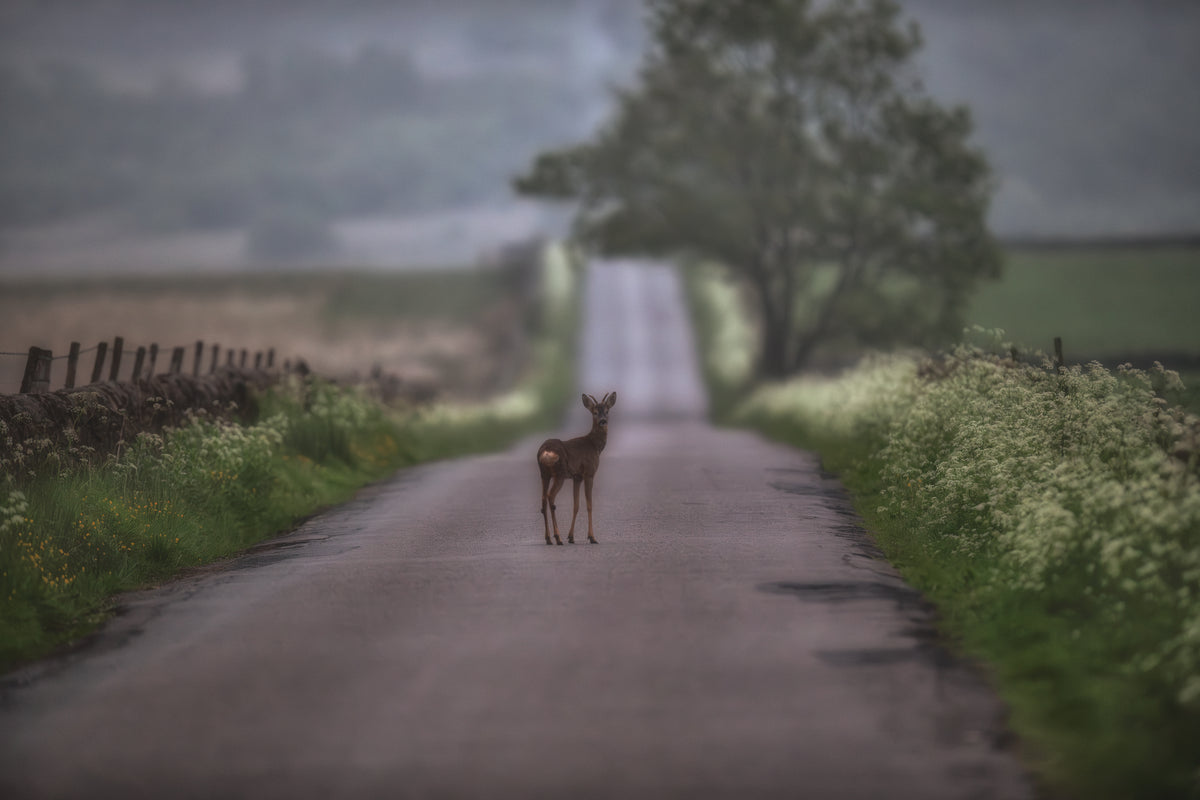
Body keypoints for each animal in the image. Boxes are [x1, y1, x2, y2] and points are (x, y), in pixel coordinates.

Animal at [537, 391, 617, 545]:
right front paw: (592, 537)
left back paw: (548, 538)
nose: (603, 421)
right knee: (550, 497)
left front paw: (571, 537)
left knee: (543, 500)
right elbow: (589, 505)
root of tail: (546, 451)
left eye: (607, 411)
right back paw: (558, 537)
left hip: (544, 474)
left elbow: (576, 505)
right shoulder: (589, 473)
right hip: (560, 473)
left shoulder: (577, 477)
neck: (595, 446)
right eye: (595, 412)